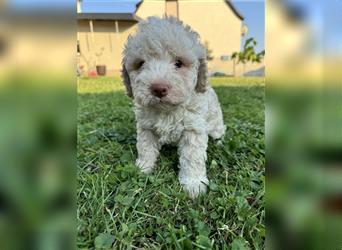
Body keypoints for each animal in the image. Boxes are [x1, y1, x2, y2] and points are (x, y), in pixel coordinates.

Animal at [121, 16, 226, 198]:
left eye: (179, 63)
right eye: (141, 64)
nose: (158, 88)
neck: (167, 111)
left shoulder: (193, 129)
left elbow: (192, 157)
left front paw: (193, 183)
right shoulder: (146, 128)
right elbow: (145, 148)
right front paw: (143, 168)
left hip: (215, 122)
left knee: (219, 132)